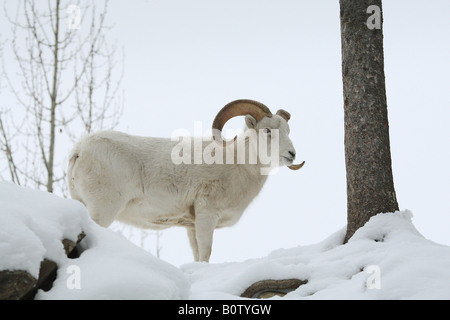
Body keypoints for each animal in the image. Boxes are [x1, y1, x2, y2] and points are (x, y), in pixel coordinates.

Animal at [67, 99, 306, 262]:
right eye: (267, 130)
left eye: (287, 130)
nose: (291, 154)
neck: (236, 163)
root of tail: (80, 150)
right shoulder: (207, 215)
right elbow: (206, 253)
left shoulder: (191, 226)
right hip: (103, 210)